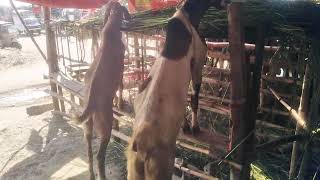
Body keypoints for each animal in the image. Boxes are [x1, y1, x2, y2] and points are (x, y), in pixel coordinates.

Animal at [74, 1, 129, 180]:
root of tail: (91, 103)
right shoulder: (121, 67)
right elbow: (121, 86)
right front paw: (120, 103)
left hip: (88, 126)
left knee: (89, 150)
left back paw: (91, 175)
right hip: (105, 125)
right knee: (99, 155)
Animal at [126, 0, 226, 179]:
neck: (186, 17)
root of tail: (140, 142)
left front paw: (185, 126)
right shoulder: (198, 63)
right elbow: (194, 98)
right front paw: (194, 128)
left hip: (133, 171)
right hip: (161, 168)